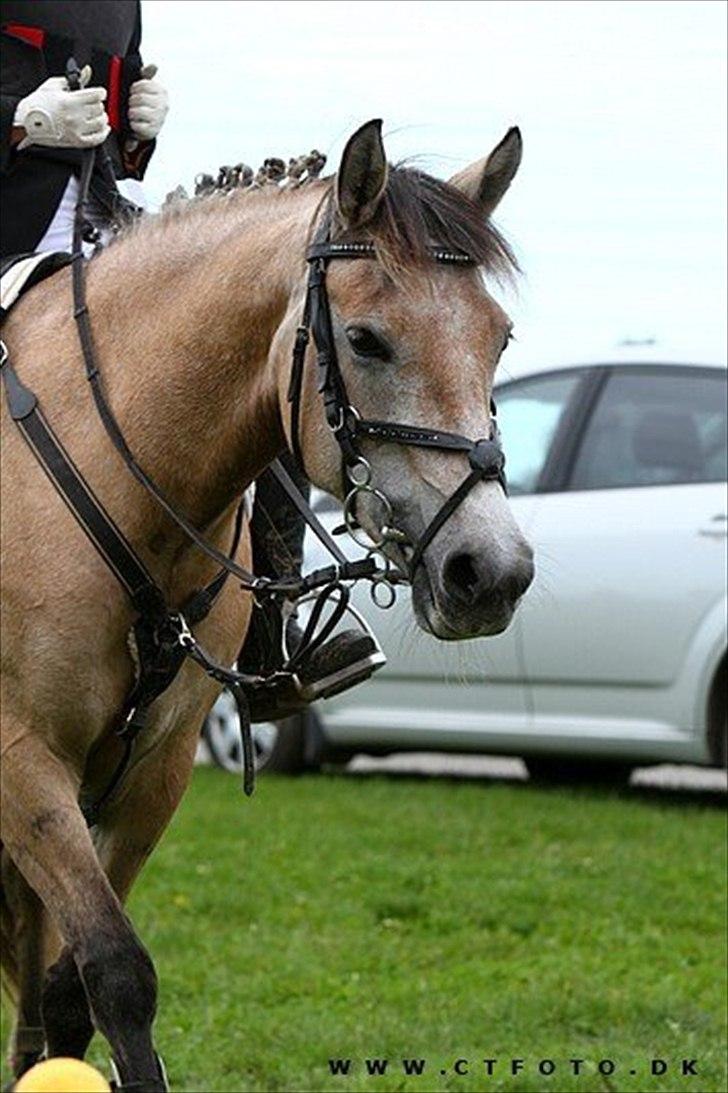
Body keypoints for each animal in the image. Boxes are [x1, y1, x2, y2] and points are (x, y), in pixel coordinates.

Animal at [0, 124, 533, 1088]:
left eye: (500, 338)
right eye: (365, 339)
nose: (493, 573)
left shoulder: (157, 769)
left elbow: (75, 991)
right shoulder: (20, 756)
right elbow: (117, 970)